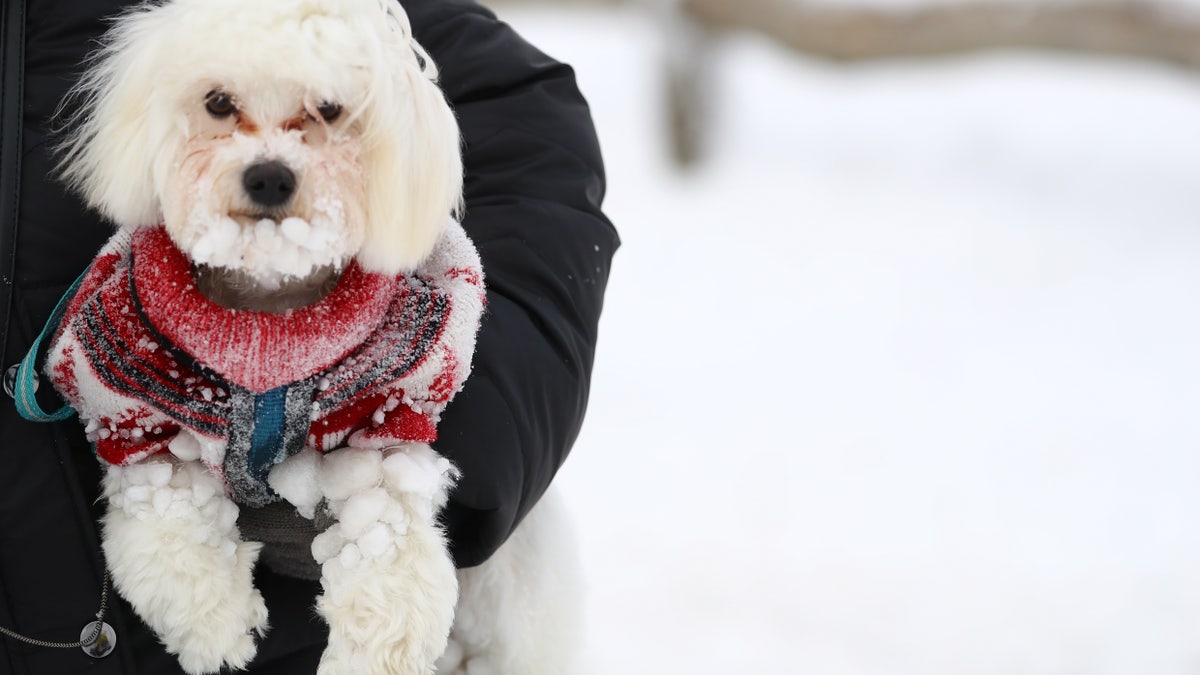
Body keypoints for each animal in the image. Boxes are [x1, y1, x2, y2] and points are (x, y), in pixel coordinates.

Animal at [49, 1, 583, 672]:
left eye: (329, 109)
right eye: (217, 101)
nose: (269, 177)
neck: (269, 329)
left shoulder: (389, 416)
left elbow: (389, 544)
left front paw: (376, 652)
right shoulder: (133, 416)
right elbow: (166, 523)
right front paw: (216, 625)